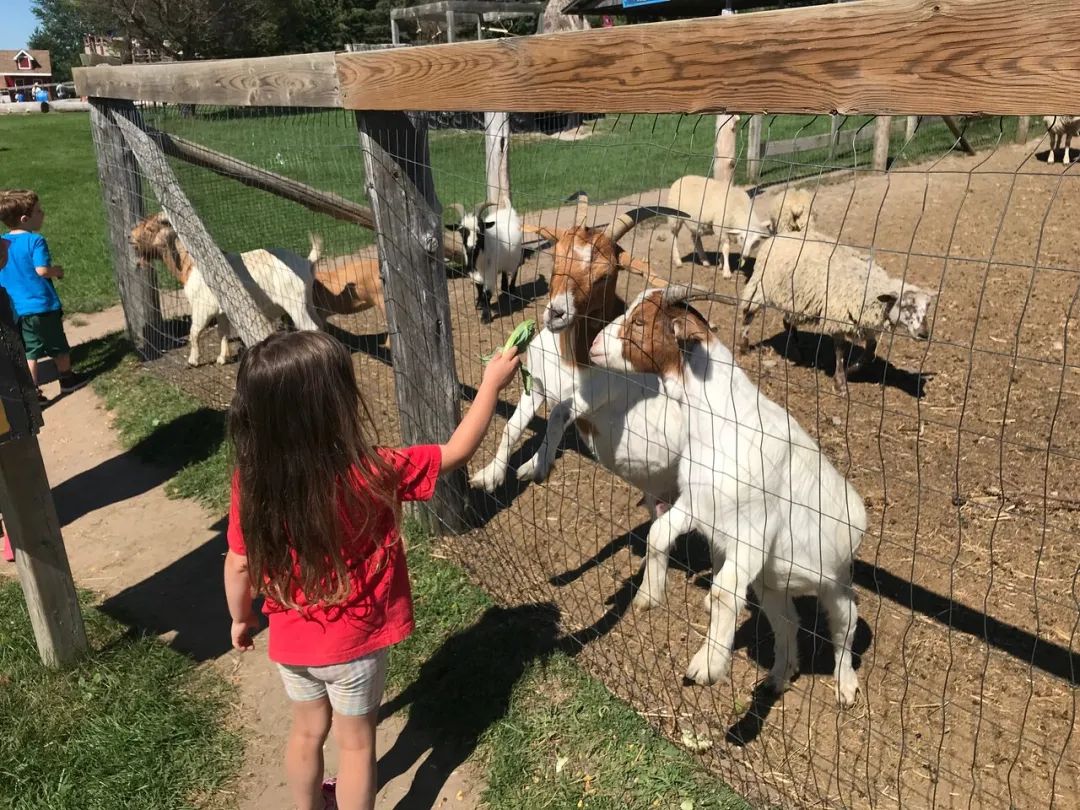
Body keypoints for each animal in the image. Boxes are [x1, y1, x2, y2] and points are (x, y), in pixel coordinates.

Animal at [128, 210, 317, 367]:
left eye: (150, 228)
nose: (129, 236)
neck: (191, 264)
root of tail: (307, 262)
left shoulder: (202, 307)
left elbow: (194, 332)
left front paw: (192, 361)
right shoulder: (222, 311)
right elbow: (223, 333)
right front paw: (221, 358)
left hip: (295, 304)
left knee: (311, 327)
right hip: (308, 302)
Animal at [587, 289, 864, 708]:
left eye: (639, 322)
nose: (592, 347)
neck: (720, 421)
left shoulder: (753, 532)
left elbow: (723, 592)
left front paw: (707, 666)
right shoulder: (696, 503)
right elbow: (658, 533)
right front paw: (649, 594)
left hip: (837, 584)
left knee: (844, 629)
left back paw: (845, 686)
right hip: (771, 584)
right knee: (788, 625)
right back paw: (778, 677)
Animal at [734, 230, 937, 395]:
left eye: (927, 307)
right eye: (907, 306)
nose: (924, 334)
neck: (870, 288)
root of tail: (779, 235)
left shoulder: (862, 324)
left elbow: (870, 351)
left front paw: (850, 371)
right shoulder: (839, 317)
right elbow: (840, 351)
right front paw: (840, 382)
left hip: (794, 299)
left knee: (787, 322)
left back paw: (798, 352)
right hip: (760, 286)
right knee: (748, 313)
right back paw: (744, 347)